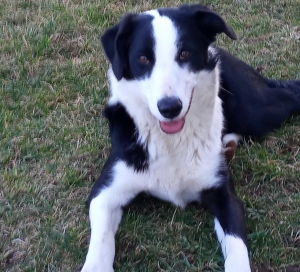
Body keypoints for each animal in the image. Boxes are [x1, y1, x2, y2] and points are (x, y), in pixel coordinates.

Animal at [80, 4, 300, 272]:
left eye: (185, 53)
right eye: (143, 59)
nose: (169, 108)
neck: (171, 142)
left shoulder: (224, 196)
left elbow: (236, 247)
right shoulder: (105, 192)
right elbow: (101, 242)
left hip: (257, 111)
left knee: (290, 94)